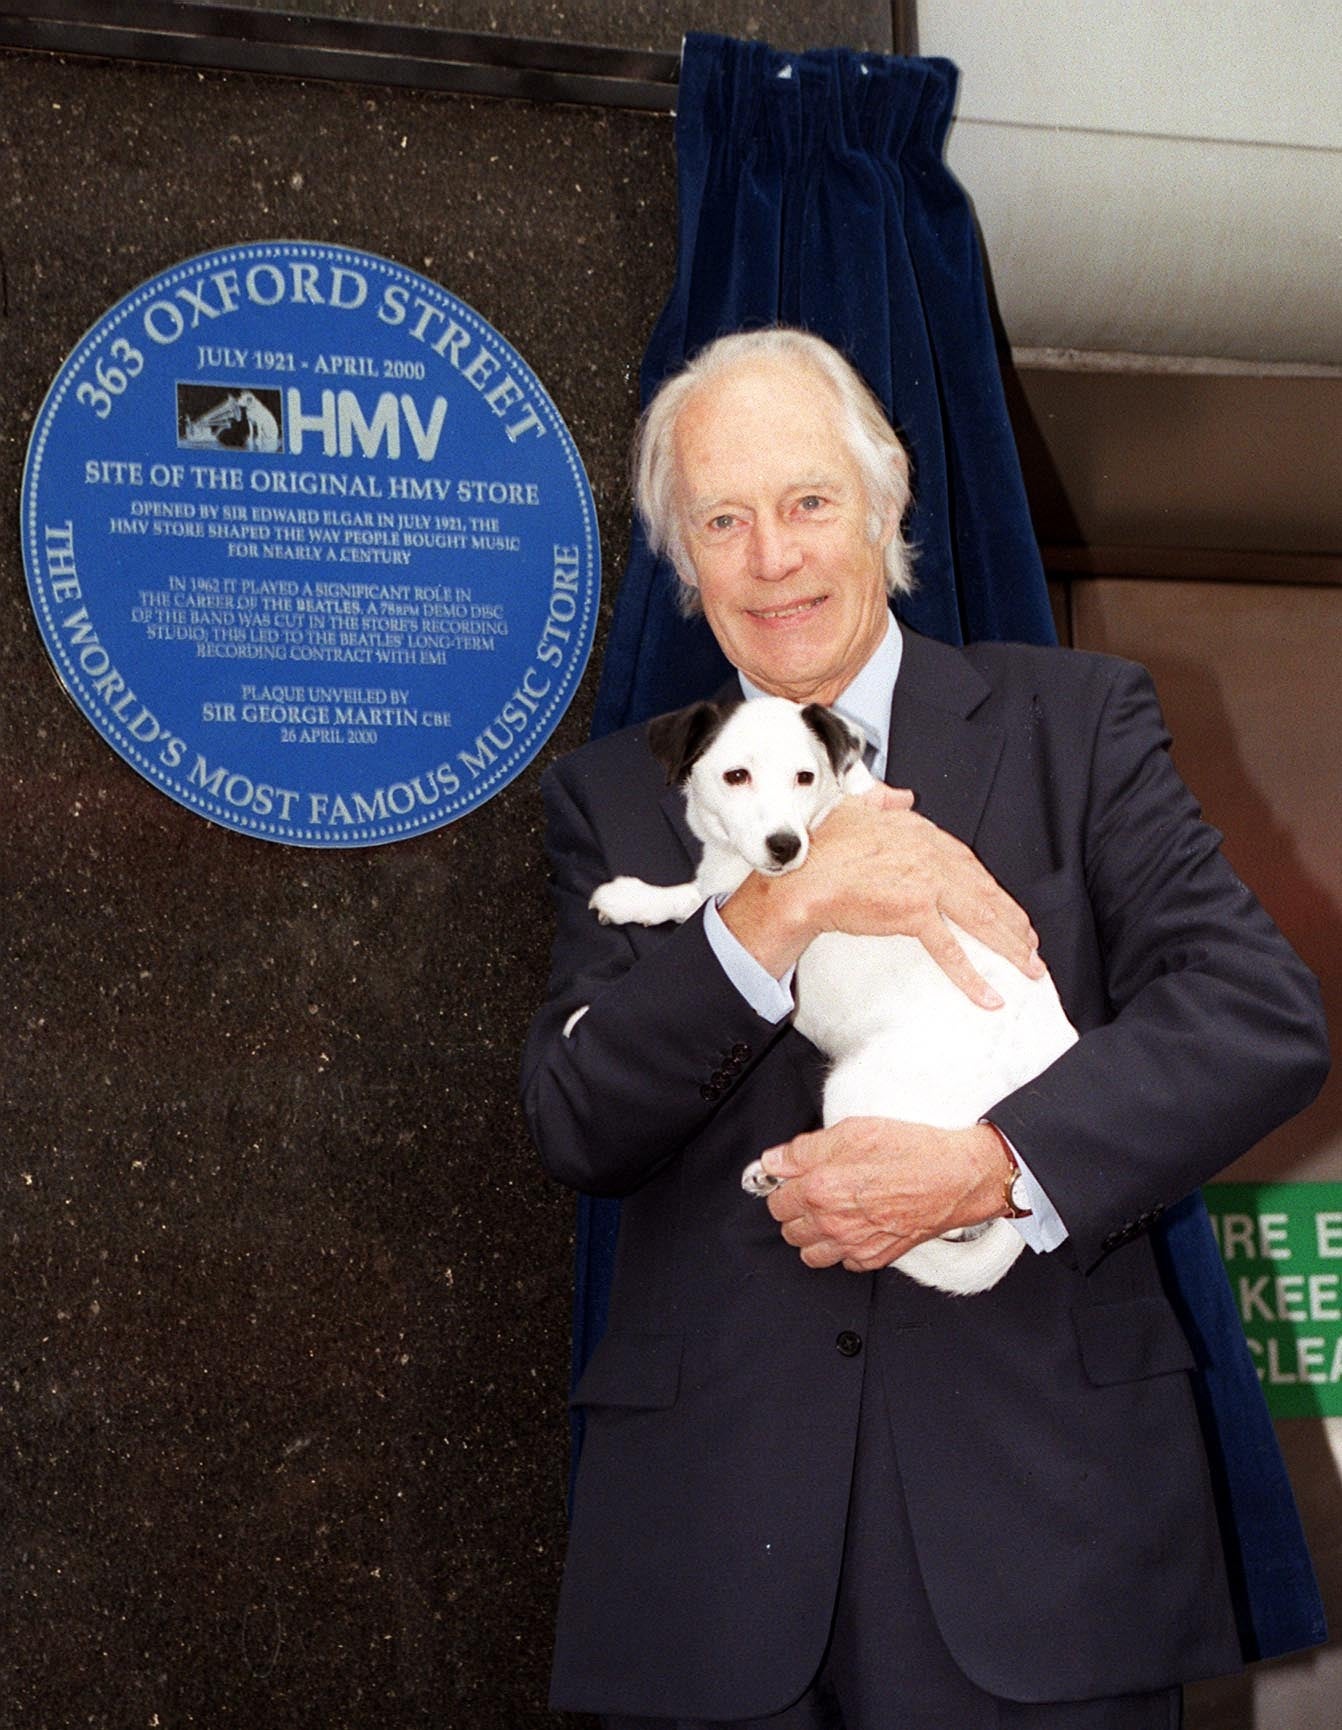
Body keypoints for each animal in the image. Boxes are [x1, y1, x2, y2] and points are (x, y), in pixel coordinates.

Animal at [591, 695, 1072, 1294]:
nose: (786, 845)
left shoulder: (729, 895)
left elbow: (692, 902)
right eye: (736, 776)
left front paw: (632, 901)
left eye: (805, 776)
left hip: (860, 1099)